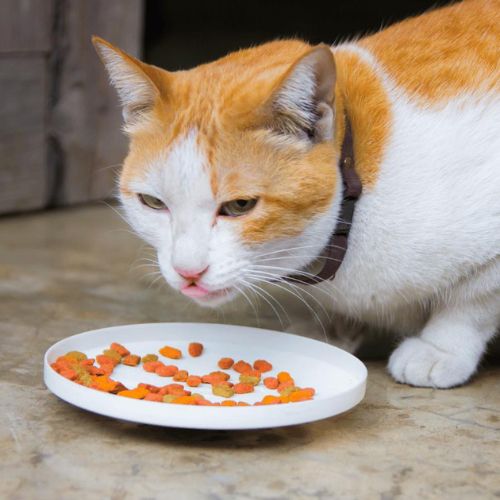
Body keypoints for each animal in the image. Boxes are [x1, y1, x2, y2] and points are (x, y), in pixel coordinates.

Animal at [94, 0, 500, 388]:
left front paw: (440, 349)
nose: (187, 272)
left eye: (240, 206)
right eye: (153, 203)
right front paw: (327, 330)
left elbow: (471, 303)